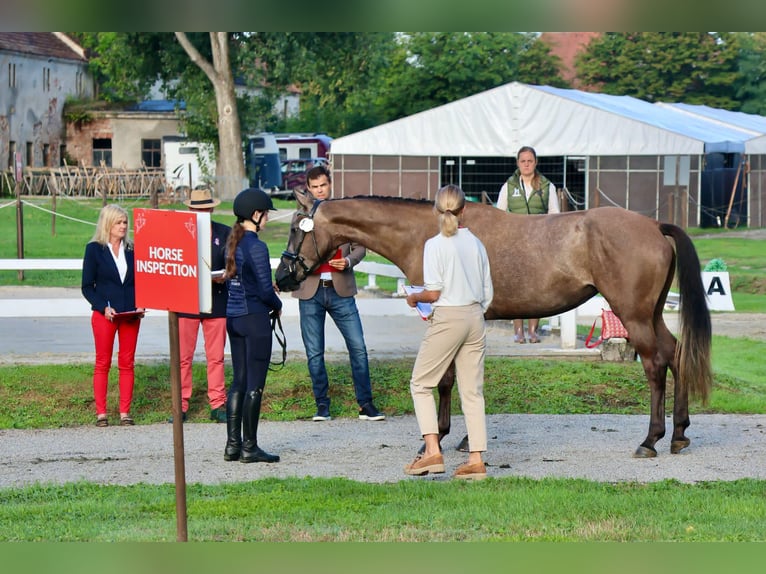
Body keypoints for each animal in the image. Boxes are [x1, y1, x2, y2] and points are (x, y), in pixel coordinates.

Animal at [275, 189, 713, 459]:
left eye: (297, 228)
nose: (283, 277)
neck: (432, 233)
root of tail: (654, 225)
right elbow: (463, 379)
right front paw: (466, 437)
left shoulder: (442, 316)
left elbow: (446, 380)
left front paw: (440, 438)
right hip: (651, 313)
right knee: (675, 355)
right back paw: (679, 433)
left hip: (634, 315)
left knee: (656, 365)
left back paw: (651, 440)